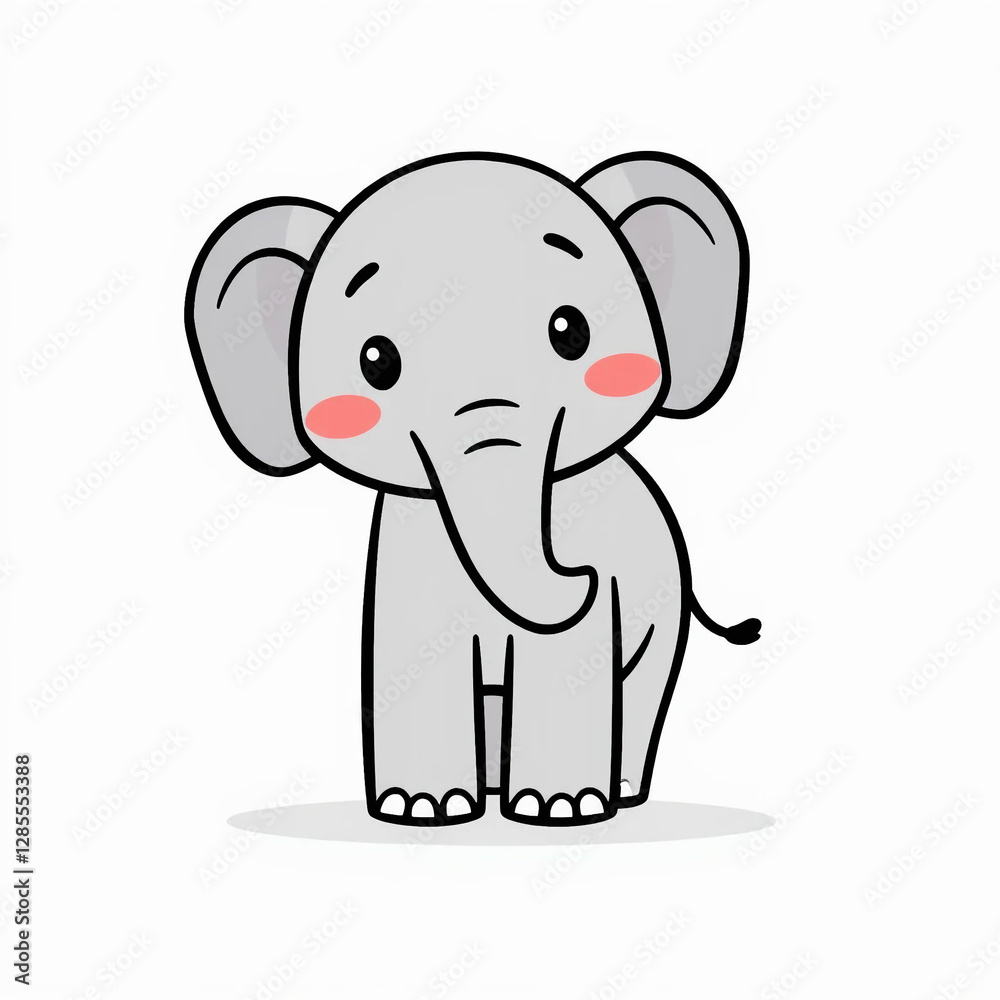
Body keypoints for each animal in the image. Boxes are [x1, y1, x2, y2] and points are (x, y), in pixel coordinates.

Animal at [185, 150, 760, 828]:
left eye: (571, 331)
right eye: (376, 360)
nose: (587, 573)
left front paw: (558, 809)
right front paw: (418, 810)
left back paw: (616, 793)